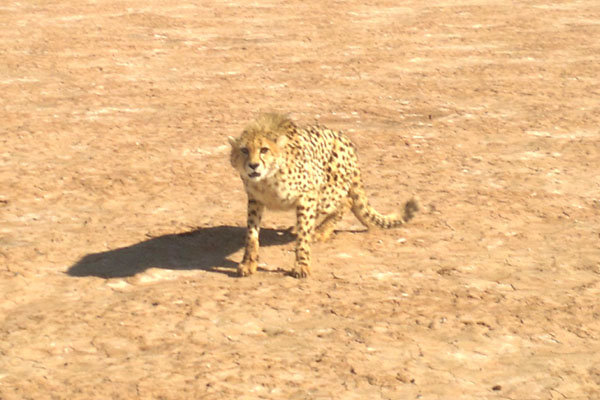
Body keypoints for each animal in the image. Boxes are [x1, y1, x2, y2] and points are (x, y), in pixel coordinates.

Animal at [227, 112, 420, 278]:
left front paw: (302, 264)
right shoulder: (255, 200)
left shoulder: (307, 195)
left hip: (326, 193)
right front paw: (248, 263)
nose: (253, 165)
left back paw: (320, 231)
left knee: (347, 202)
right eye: (244, 150)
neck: (267, 179)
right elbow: (252, 234)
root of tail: (345, 140)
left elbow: (304, 234)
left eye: (264, 150)